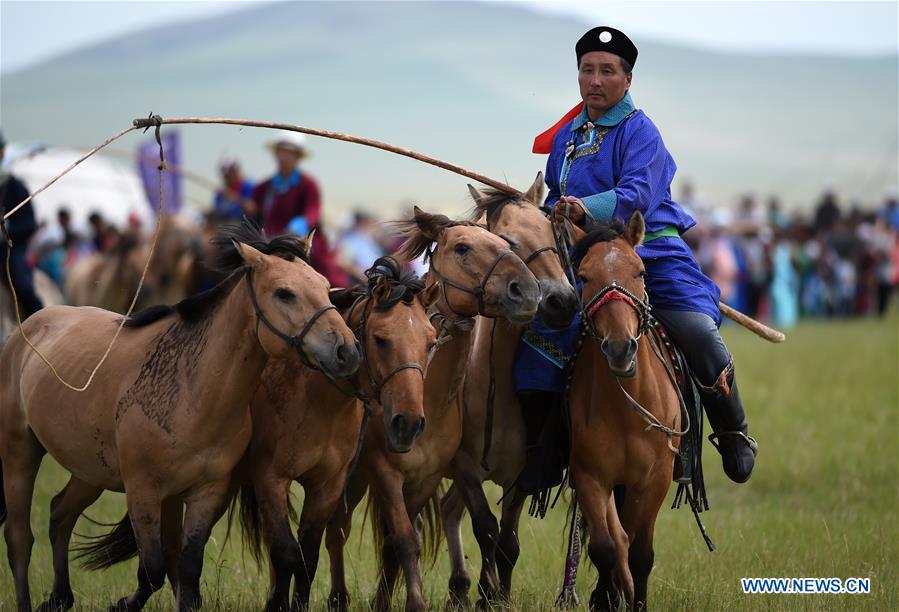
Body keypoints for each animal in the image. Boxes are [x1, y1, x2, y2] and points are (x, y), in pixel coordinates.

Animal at [0, 220, 358, 612]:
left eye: (325, 286)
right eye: (284, 293)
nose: (347, 350)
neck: (193, 391)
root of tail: (27, 327)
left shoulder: (206, 492)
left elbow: (187, 567)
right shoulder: (142, 490)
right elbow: (154, 568)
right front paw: (123, 603)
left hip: (89, 470)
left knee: (60, 515)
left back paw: (59, 597)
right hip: (19, 452)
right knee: (19, 537)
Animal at [326, 207, 540, 612]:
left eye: (504, 242)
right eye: (462, 247)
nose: (528, 290)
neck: (426, 400)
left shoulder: (429, 476)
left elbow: (400, 542)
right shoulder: (387, 472)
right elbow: (406, 539)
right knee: (337, 530)